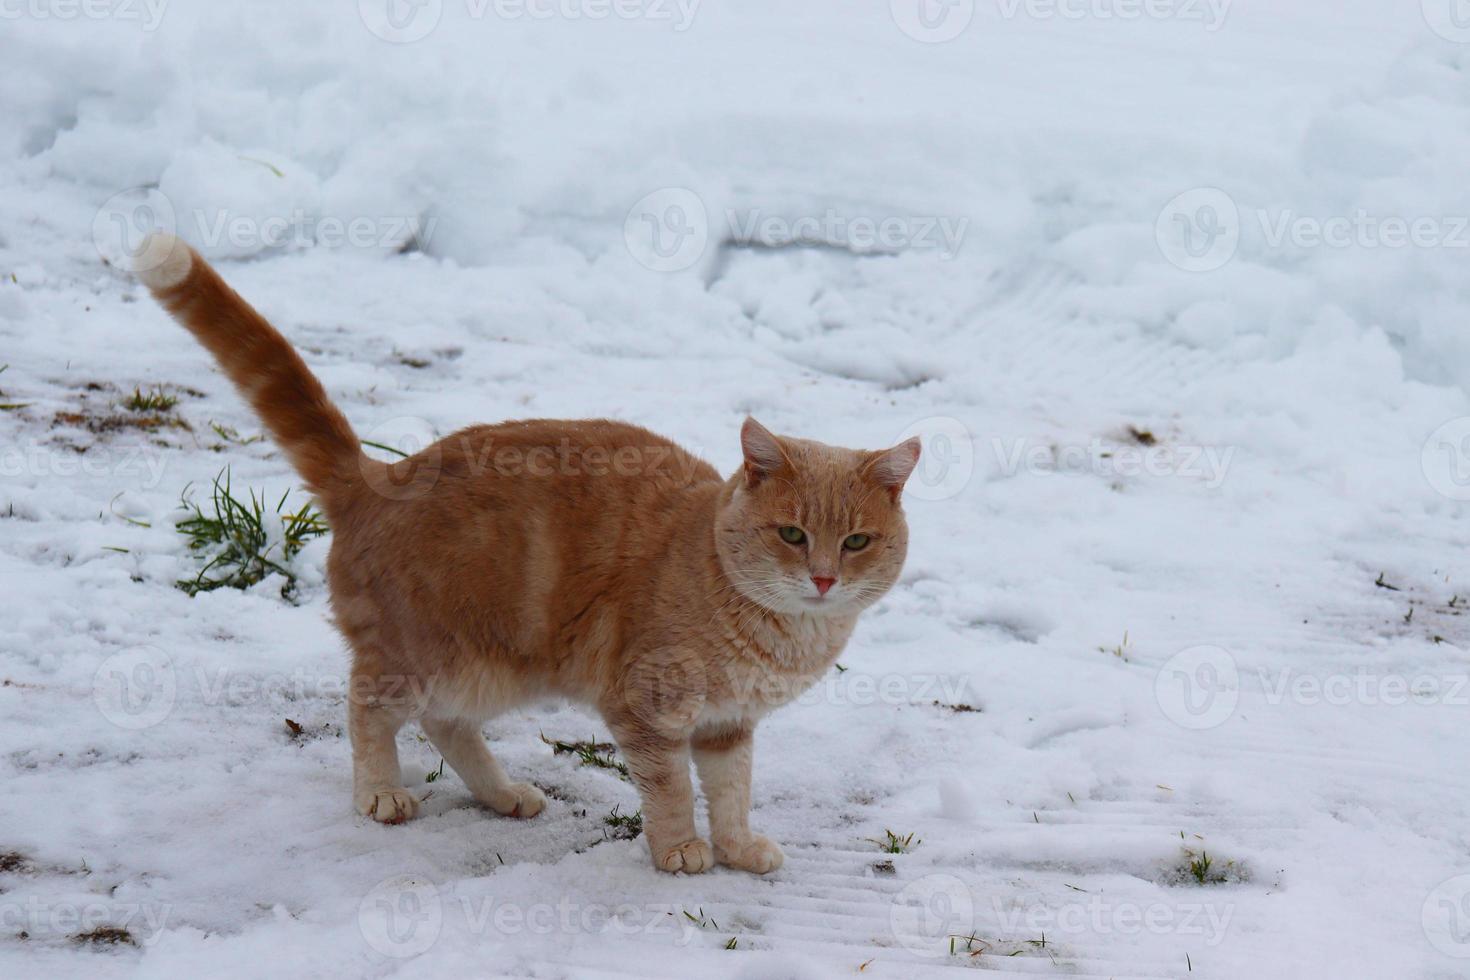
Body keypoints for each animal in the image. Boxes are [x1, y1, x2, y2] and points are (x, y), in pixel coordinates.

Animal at [135, 233, 917, 875]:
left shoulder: (728, 727)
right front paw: (679, 850)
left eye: (855, 541)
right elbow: (669, 789)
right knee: (368, 709)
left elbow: (731, 792)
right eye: (792, 534)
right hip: (425, 656)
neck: (776, 629)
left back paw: (503, 794)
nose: (823, 578)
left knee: (446, 725)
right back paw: (382, 793)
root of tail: (379, 475)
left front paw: (737, 848)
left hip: (488, 671)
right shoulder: (648, 709)